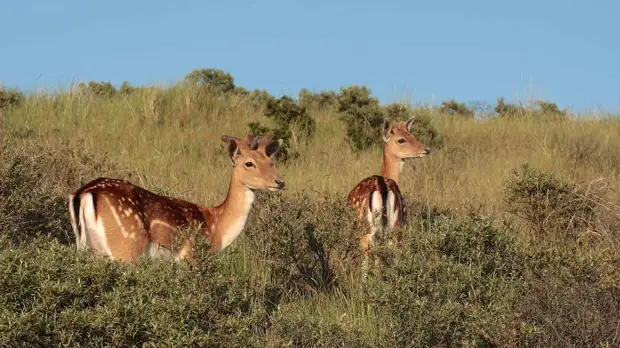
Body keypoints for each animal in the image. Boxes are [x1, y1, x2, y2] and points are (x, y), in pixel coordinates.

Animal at [68, 132, 286, 262]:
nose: (280, 182)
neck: (217, 228)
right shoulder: (191, 256)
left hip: (87, 246)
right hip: (125, 246)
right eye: (249, 163)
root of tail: (83, 193)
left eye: (271, 161)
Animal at [348, 118, 432, 278]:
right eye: (401, 139)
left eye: (411, 134)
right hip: (395, 224)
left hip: (369, 226)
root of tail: (383, 187)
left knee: (370, 249)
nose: (426, 149)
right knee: (391, 248)